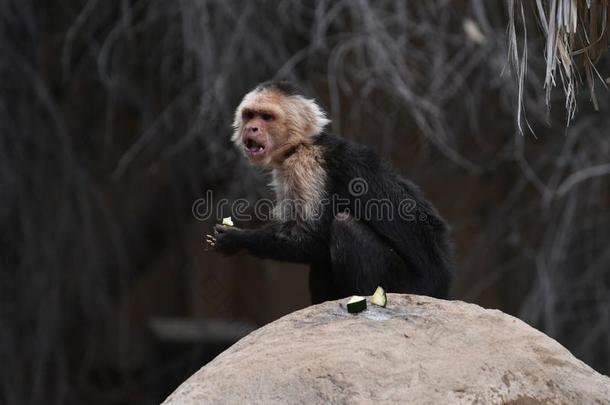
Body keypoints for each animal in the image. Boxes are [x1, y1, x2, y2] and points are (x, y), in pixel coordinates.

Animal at [207, 81, 448, 304]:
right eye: (249, 115)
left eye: (266, 117)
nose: (251, 128)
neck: (301, 144)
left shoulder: (306, 166)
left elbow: (312, 239)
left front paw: (236, 238)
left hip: (407, 286)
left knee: (342, 226)